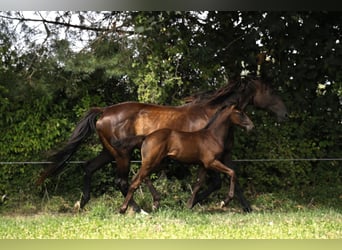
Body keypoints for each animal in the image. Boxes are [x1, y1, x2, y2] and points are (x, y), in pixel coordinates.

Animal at [116, 104, 255, 214]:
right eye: (240, 113)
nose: (251, 126)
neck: (212, 136)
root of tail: (146, 137)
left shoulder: (203, 166)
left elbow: (198, 184)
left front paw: (188, 205)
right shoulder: (211, 162)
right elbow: (232, 173)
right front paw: (224, 201)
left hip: (158, 164)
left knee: (139, 179)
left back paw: (151, 204)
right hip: (151, 163)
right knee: (135, 182)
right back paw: (123, 209)